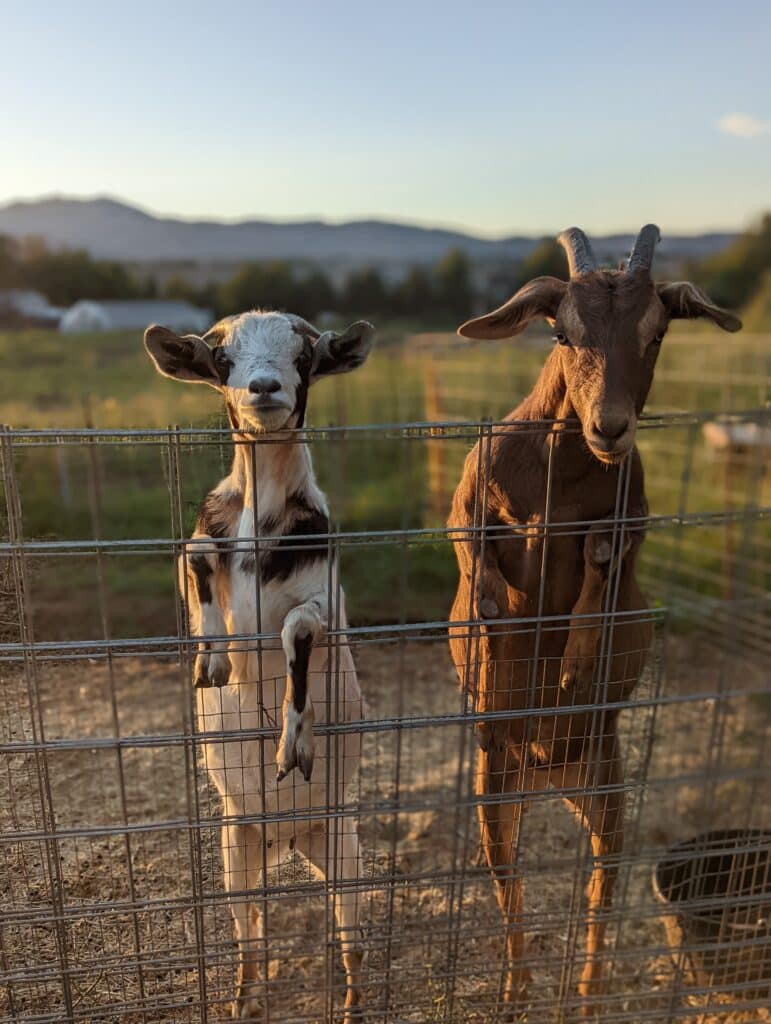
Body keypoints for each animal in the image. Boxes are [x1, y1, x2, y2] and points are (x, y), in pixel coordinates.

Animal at [145, 310, 374, 1020]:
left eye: (304, 352)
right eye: (221, 357)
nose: (265, 388)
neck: (262, 516)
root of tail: (288, 840)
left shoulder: (327, 600)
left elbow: (298, 629)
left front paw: (291, 744)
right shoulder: (206, 541)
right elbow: (193, 552)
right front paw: (214, 659)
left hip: (343, 847)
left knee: (351, 937)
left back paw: (351, 1004)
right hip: (234, 848)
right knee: (251, 933)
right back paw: (243, 1000)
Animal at [447, 226, 741, 1019]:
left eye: (657, 331)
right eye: (561, 332)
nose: (609, 427)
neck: (561, 474)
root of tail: (553, 778)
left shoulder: (626, 525)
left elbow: (604, 576)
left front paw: (577, 662)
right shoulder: (468, 497)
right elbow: (473, 550)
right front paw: (490, 615)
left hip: (607, 788)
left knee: (601, 885)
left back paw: (585, 991)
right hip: (494, 781)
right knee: (508, 883)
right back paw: (517, 989)